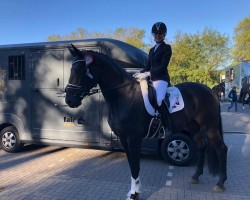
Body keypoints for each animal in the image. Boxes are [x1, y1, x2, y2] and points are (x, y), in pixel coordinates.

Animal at [65, 45, 229, 200]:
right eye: (71, 69)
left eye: (79, 70)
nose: (69, 100)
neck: (124, 95)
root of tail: (210, 91)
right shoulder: (124, 139)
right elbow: (131, 166)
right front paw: (133, 192)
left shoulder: (133, 139)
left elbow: (135, 166)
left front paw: (134, 194)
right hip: (193, 127)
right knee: (202, 148)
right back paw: (195, 177)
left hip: (210, 127)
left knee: (221, 149)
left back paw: (220, 183)